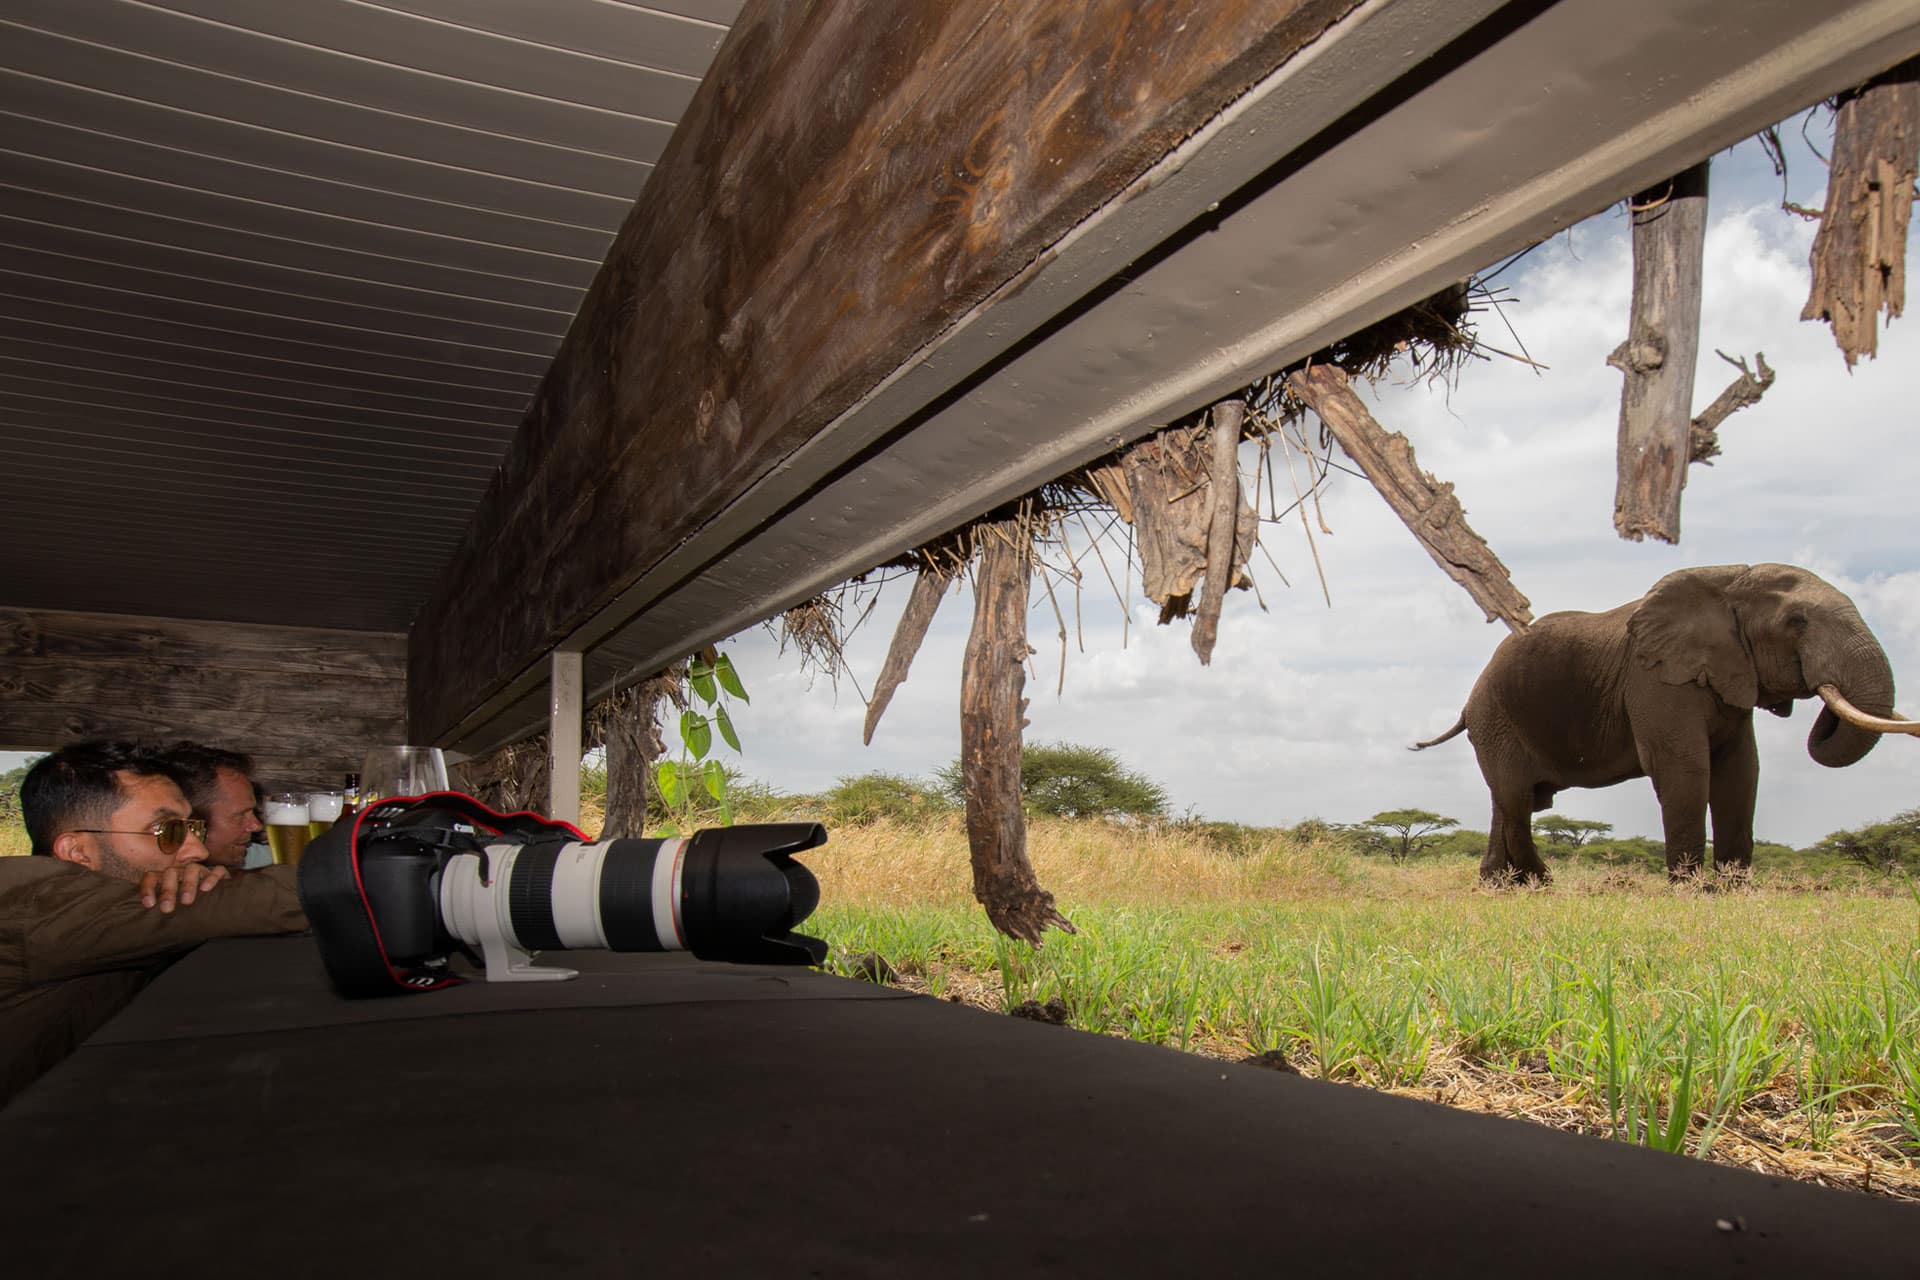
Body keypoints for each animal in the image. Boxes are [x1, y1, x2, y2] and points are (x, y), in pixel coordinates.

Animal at [1415, 563, 1919, 882]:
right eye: (1797, 621)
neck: (1729, 580)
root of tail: (1470, 700)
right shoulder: (1654, 679)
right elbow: (1685, 767)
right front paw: (1695, 892)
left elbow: (1742, 773)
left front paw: (1734, 891)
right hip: (1496, 718)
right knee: (1517, 799)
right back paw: (1539, 884)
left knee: (1506, 800)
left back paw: (1502, 886)